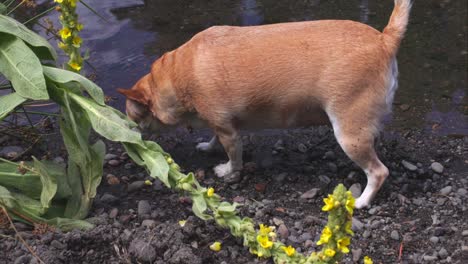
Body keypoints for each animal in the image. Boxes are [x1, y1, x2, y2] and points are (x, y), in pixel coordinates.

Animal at [119, 0, 412, 208]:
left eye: (134, 119)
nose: (127, 135)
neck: (176, 75)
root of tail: (384, 39)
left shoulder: (229, 132)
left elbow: (233, 156)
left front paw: (228, 171)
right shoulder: (220, 124)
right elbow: (214, 137)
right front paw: (208, 146)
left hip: (348, 135)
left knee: (378, 171)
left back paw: (362, 201)